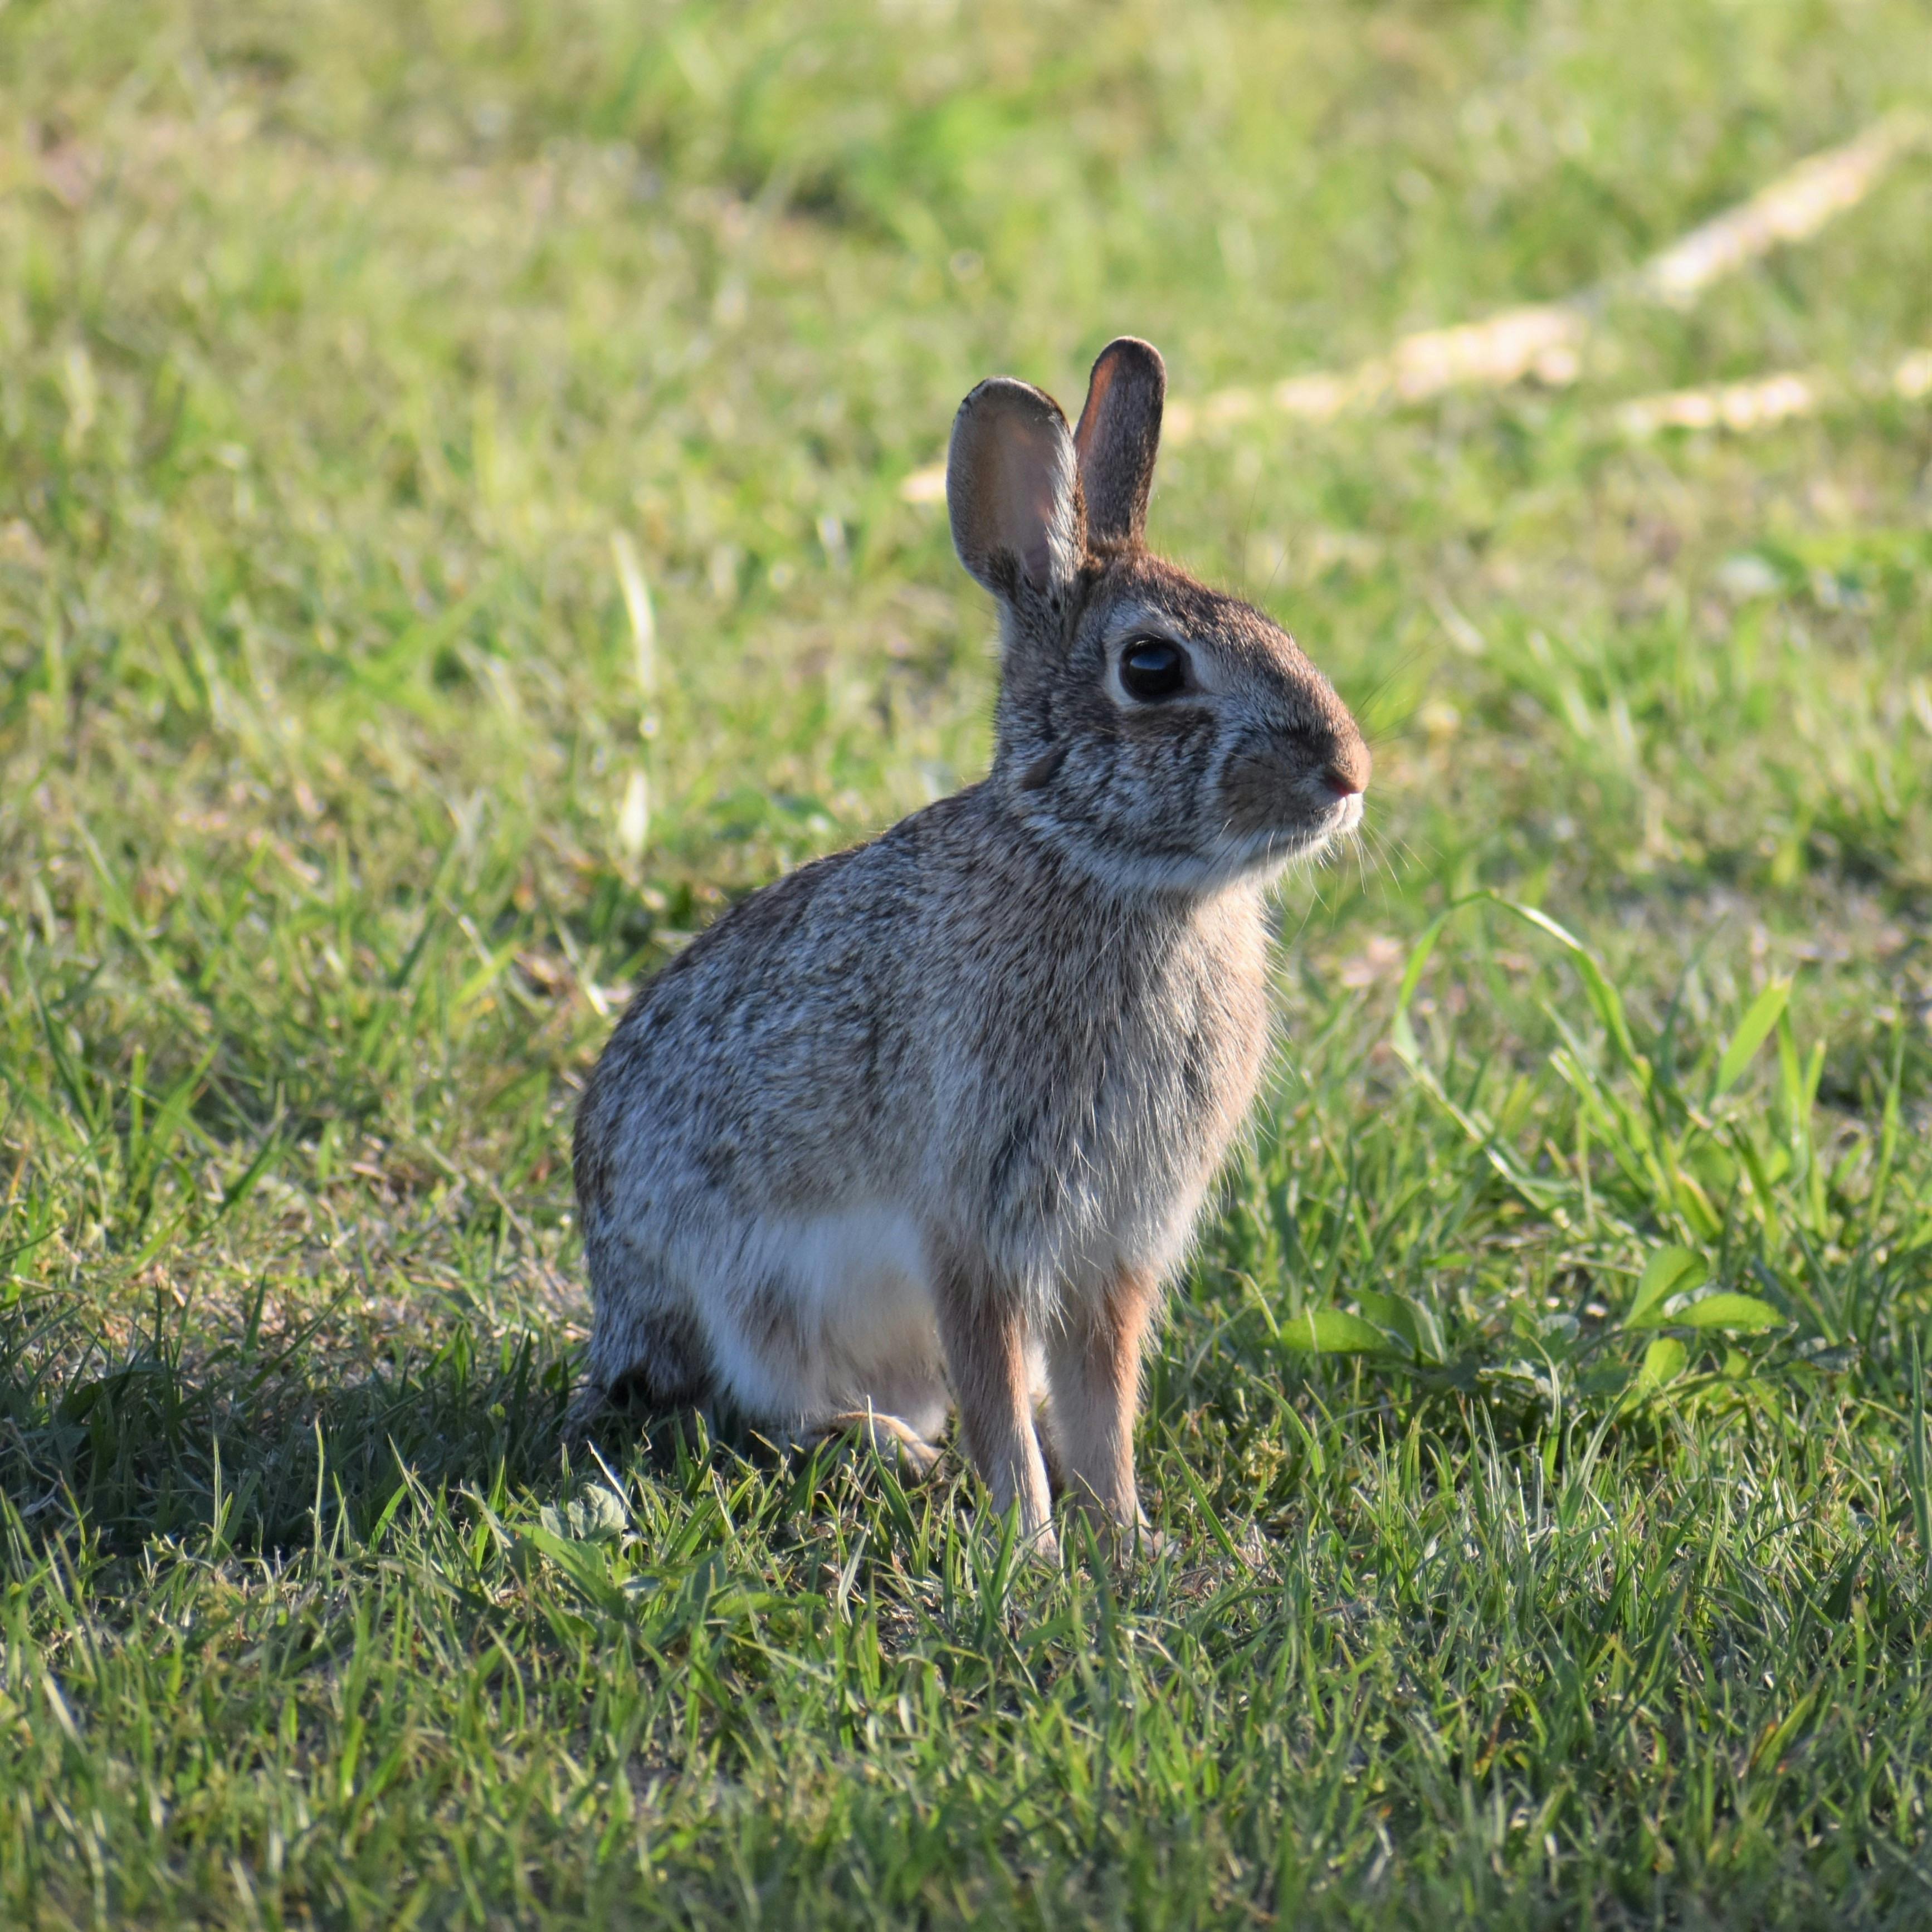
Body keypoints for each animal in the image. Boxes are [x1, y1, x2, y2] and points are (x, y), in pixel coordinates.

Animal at [564, 340, 1368, 1561]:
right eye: (1151, 668)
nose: (1348, 771)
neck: (1111, 872)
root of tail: (619, 1322)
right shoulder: (976, 1223)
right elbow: (994, 1390)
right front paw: (1033, 1548)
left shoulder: (1114, 1245)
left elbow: (1103, 1397)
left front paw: (1130, 1537)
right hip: (753, 1300)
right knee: (763, 1406)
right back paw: (881, 1446)